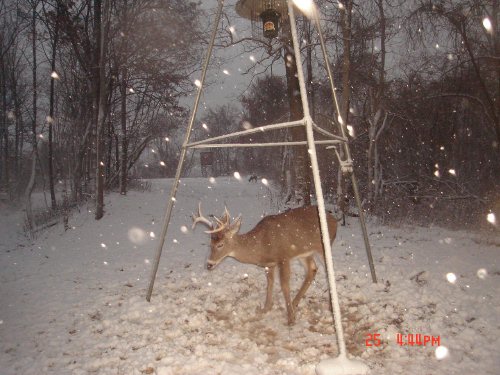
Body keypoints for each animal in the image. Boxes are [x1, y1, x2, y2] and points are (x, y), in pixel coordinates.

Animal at [191, 204, 336, 324]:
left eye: (220, 245)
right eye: (210, 244)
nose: (209, 264)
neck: (262, 245)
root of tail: (334, 220)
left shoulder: (284, 257)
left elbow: (284, 285)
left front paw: (290, 318)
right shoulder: (270, 264)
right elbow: (270, 283)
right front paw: (266, 308)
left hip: (322, 247)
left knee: (329, 269)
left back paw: (329, 305)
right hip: (304, 253)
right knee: (312, 269)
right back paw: (295, 303)